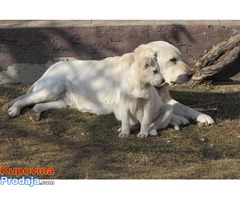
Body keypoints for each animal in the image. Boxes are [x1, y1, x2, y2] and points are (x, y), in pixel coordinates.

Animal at [7, 40, 214, 126]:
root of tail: (49, 68)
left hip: (62, 101)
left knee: (38, 105)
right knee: (23, 99)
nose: (191, 73)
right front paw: (177, 119)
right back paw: (14, 110)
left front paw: (203, 116)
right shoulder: (124, 108)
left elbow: (184, 107)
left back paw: (36, 113)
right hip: (51, 88)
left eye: (180, 57)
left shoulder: (165, 100)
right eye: (172, 60)